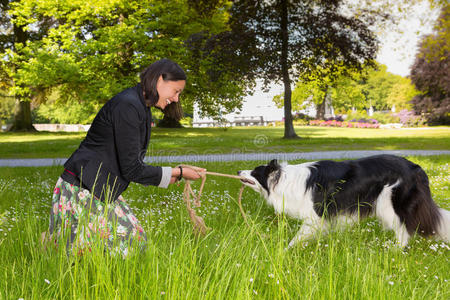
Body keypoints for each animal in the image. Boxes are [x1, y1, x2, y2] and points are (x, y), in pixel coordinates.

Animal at [237, 155, 448, 248]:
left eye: (254, 172)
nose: (238, 171)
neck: (284, 180)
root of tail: (416, 167)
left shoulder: (315, 216)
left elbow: (297, 237)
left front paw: (286, 250)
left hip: (389, 203)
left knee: (404, 229)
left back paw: (396, 250)